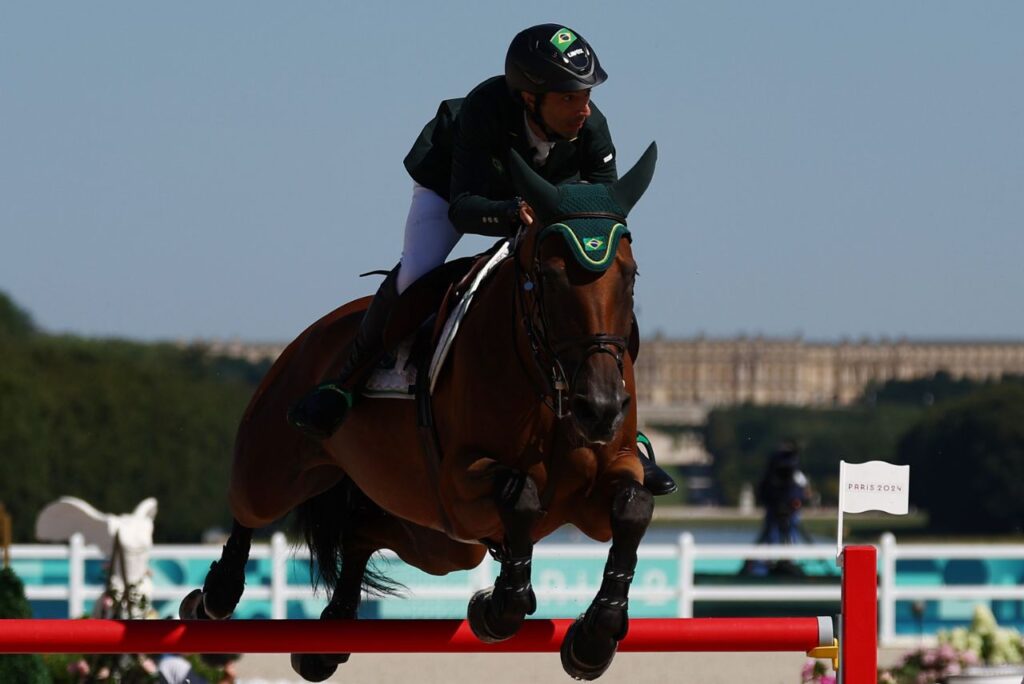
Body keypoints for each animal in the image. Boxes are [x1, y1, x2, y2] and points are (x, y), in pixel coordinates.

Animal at [180, 143, 659, 679]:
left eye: (630, 276)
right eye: (550, 278)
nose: (599, 408)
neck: (548, 387)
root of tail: (310, 335)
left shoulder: (599, 487)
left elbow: (632, 507)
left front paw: (593, 638)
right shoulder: (459, 482)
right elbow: (522, 498)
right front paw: (498, 608)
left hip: (442, 540)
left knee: (361, 533)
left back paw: (327, 638)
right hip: (278, 471)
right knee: (247, 511)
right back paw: (212, 599)